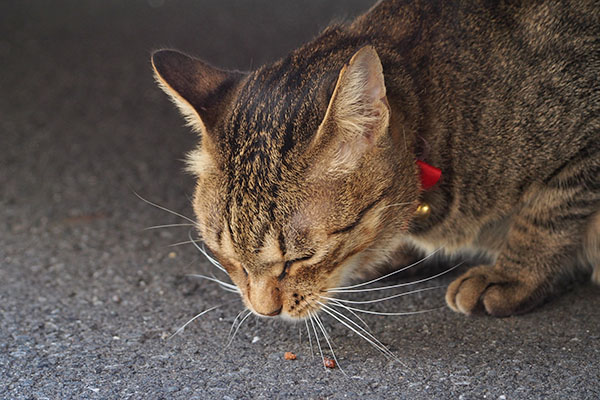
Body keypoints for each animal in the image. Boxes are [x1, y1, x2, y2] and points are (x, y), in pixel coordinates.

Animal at [152, 0, 596, 318]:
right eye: (228, 257)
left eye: (300, 259)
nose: (264, 312)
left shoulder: (586, 148)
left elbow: (544, 220)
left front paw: (510, 276)